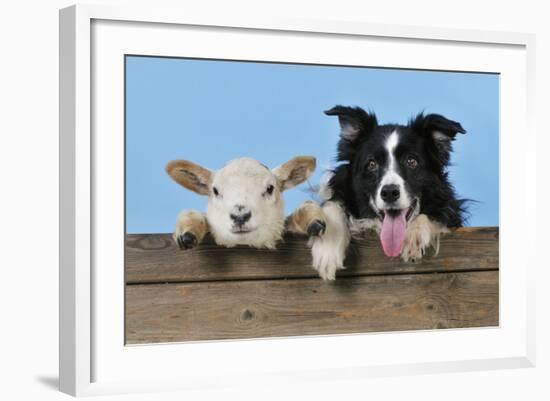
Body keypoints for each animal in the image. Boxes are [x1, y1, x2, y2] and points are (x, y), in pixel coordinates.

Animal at [312, 106, 468, 280]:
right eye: (372, 164)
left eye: (411, 161)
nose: (389, 193)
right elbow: (334, 204)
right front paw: (327, 253)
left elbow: (436, 215)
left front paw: (413, 237)